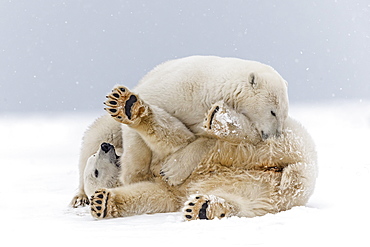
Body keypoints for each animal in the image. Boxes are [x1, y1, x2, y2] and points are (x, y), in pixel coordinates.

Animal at [69, 55, 290, 206]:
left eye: (284, 115)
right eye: (273, 112)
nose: (275, 136)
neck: (209, 89)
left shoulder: (206, 114)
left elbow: (207, 140)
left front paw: (171, 171)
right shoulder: (176, 92)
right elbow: (137, 133)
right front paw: (134, 176)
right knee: (95, 137)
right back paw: (80, 197)